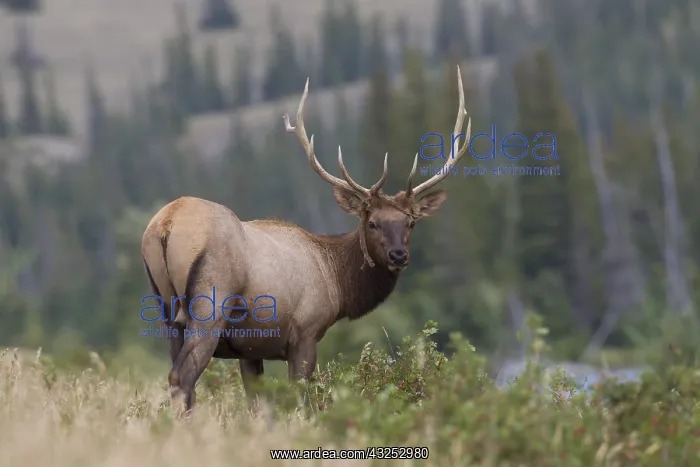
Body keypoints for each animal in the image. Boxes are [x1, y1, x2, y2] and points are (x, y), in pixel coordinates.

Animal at [140, 66, 471, 414]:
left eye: (410, 222)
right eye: (372, 223)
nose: (398, 255)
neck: (336, 280)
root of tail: (166, 224)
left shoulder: (249, 349)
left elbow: (258, 405)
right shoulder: (305, 334)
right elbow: (300, 398)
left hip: (166, 313)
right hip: (209, 305)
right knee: (182, 377)